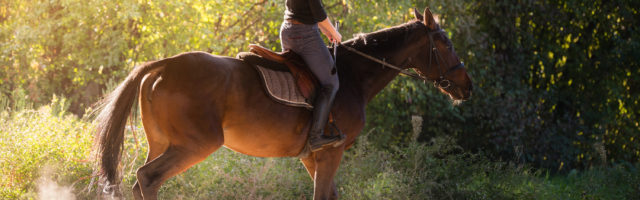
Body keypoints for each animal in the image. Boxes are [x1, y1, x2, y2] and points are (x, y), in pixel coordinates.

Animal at [95, 7, 472, 200]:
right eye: (446, 42)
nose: (467, 87)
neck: (354, 75)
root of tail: (165, 64)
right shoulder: (330, 151)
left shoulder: (311, 156)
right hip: (195, 144)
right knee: (148, 179)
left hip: (161, 142)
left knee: (142, 180)